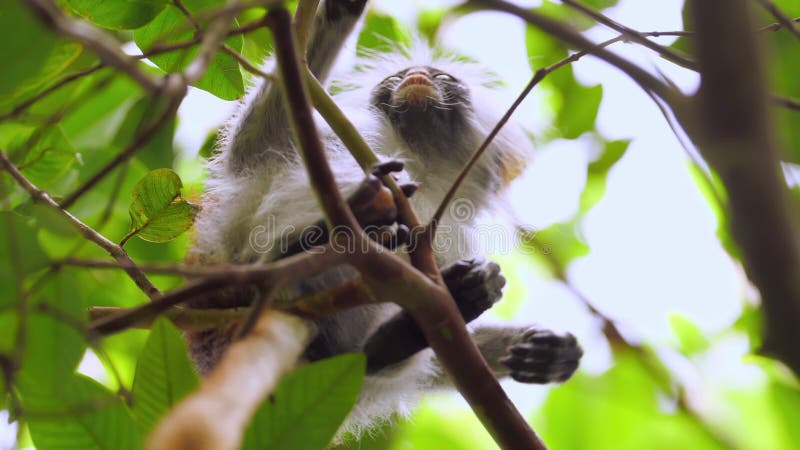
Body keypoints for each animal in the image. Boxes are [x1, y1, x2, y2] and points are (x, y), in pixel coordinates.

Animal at [185, 0, 584, 436]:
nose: (416, 76)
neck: (420, 159)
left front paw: (543, 352)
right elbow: (251, 151)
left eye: (442, 78)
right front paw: (337, 17)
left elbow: (450, 347)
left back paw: (410, 328)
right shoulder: (340, 138)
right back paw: (328, 236)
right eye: (397, 78)